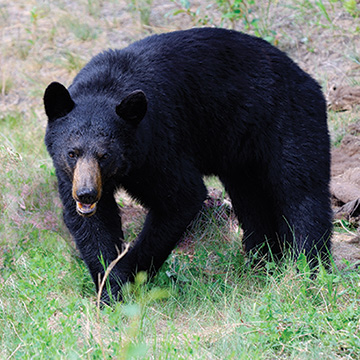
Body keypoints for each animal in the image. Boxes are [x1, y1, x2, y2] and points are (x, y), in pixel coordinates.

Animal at [44, 28, 332, 302]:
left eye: (105, 155)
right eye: (72, 153)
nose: (86, 194)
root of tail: (304, 75)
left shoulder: (159, 145)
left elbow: (181, 197)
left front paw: (131, 271)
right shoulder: (70, 176)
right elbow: (94, 226)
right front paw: (110, 288)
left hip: (288, 118)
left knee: (300, 191)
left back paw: (309, 269)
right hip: (240, 155)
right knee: (252, 202)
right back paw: (263, 263)